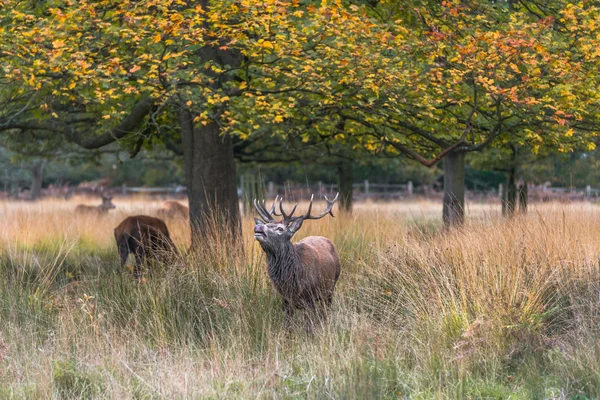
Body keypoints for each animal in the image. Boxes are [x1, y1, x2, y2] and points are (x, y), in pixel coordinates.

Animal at [252, 194, 340, 332]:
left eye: (280, 229)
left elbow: (308, 327)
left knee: (325, 312)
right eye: (267, 224)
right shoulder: (285, 301)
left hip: (331, 287)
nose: (258, 227)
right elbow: (287, 327)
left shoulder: (310, 299)